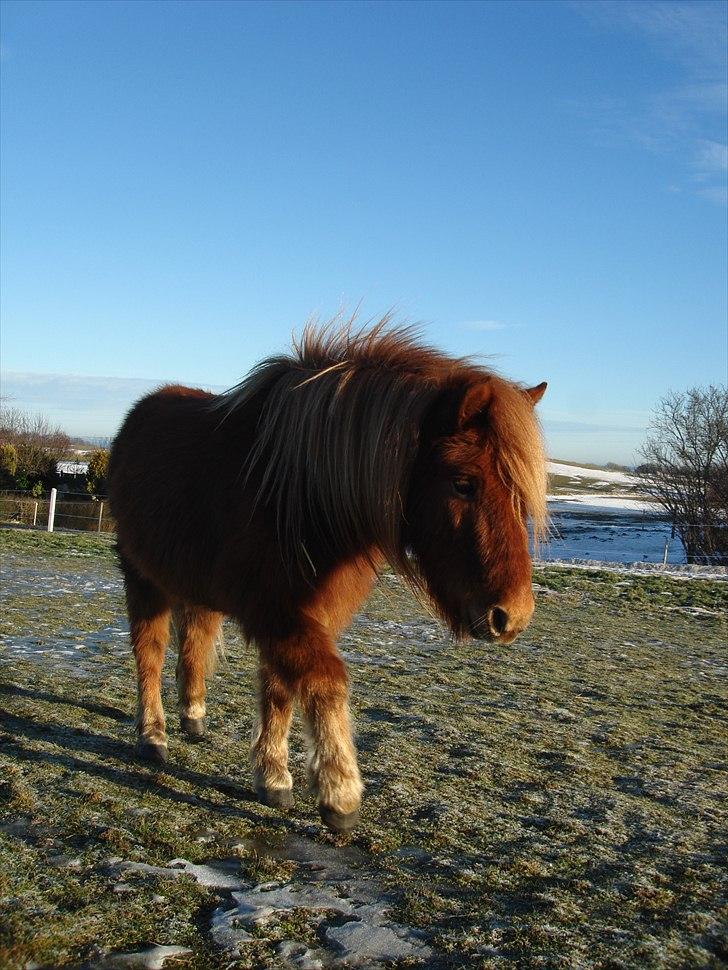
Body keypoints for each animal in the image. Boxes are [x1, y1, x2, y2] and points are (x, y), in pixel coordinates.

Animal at [109, 320, 544, 832]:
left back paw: (193, 715)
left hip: (196, 586)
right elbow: (326, 680)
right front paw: (340, 794)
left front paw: (273, 776)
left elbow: (280, 689)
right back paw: (152, 736)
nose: (512, 617)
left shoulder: (305, 617)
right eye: (463, 483)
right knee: (150, 653)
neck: (302, 496)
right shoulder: (278, 615)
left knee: (194, 637)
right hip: (142, 578)